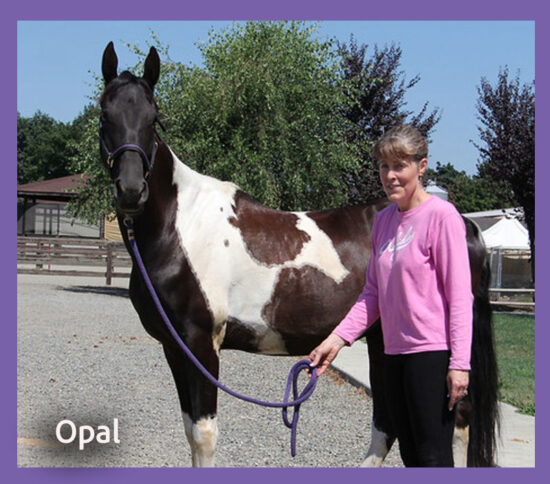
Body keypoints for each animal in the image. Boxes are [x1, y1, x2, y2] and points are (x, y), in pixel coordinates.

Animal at [99, 42, 498, 467]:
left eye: (154, 117)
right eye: (105, 113)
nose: (130, 191)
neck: (182, 226)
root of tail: (463, 223)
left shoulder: (200, 343)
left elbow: (203, 435)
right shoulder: (175, 348)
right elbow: (190, 430)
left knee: (455, 425)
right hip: (382, 344)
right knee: (388, 425)